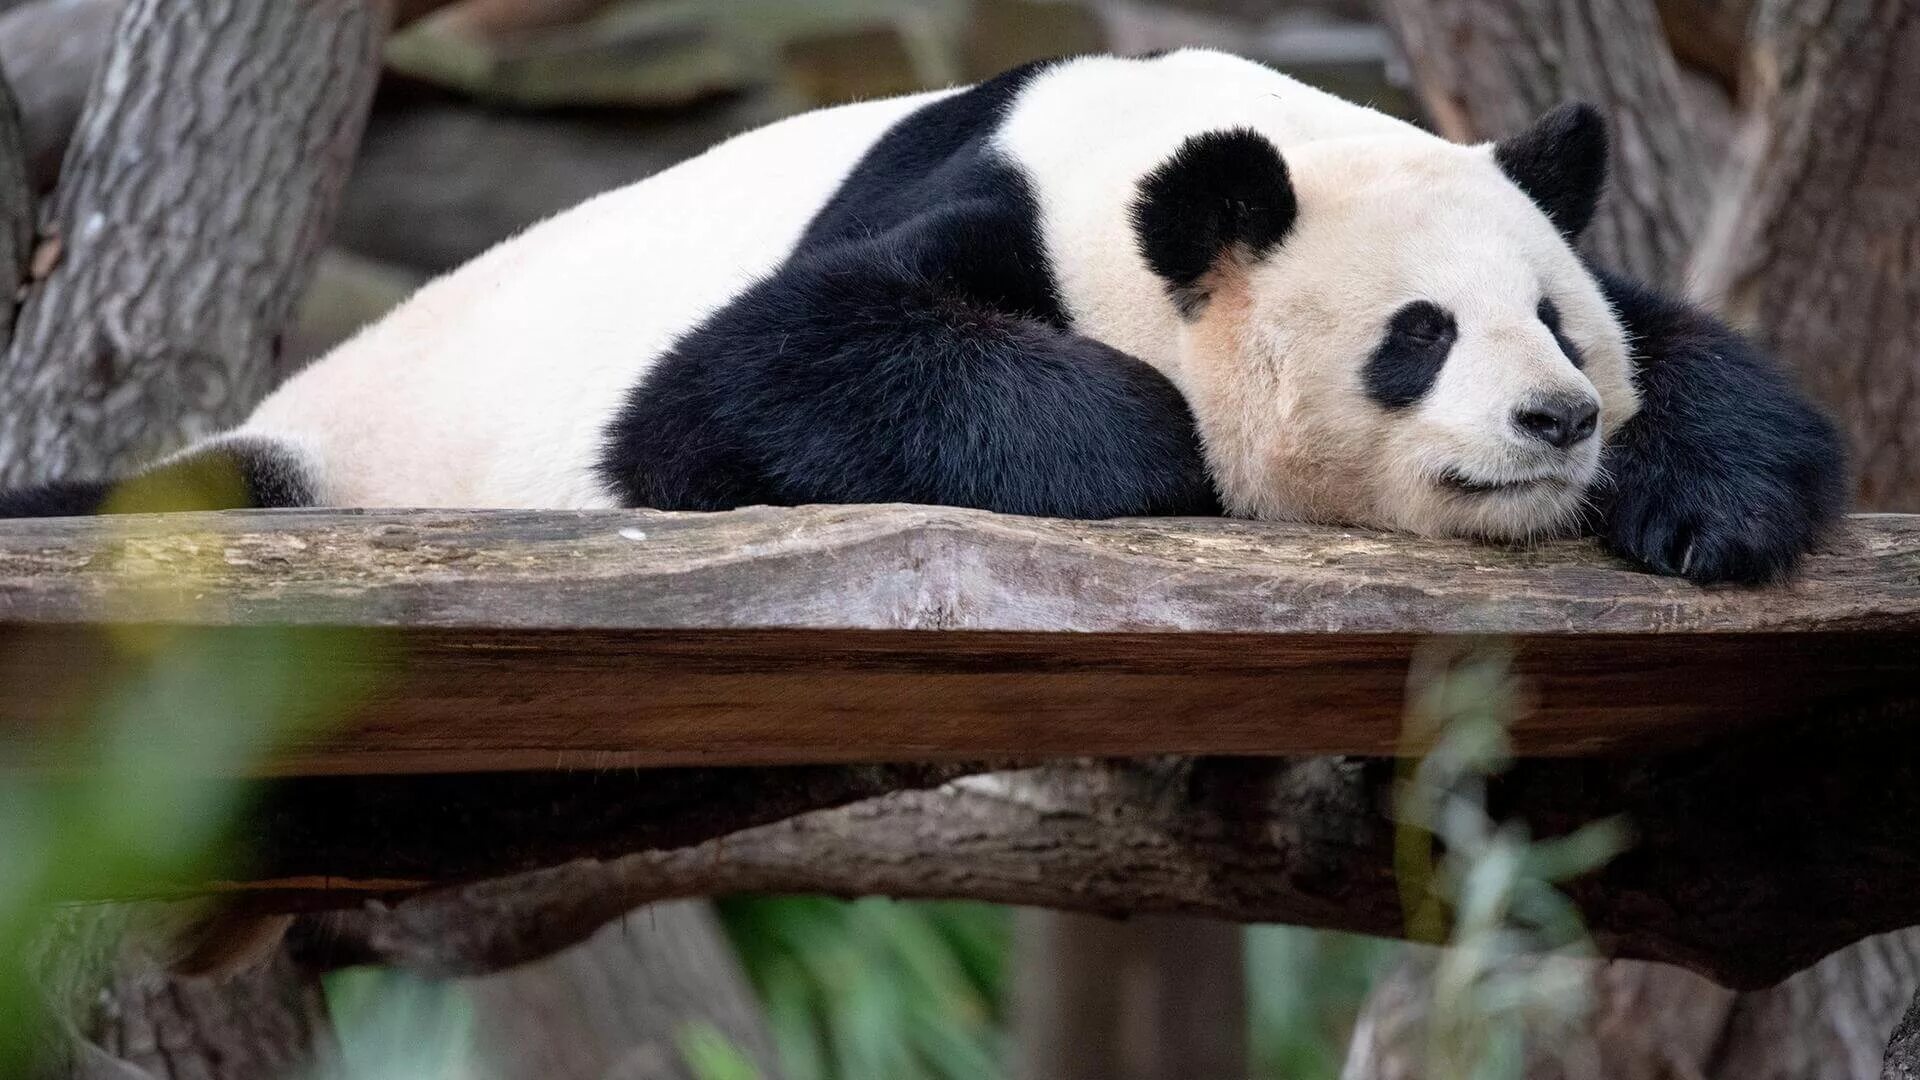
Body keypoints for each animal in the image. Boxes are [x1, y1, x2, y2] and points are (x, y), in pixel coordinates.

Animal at [0, 51, 1843, 584]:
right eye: (1419, 337)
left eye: (1554, 325)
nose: (1559, 422)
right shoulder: (991, 206)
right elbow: (735, 388)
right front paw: (1163, 445)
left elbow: (1721, 362)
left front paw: (1703, 505)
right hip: (330, 448)